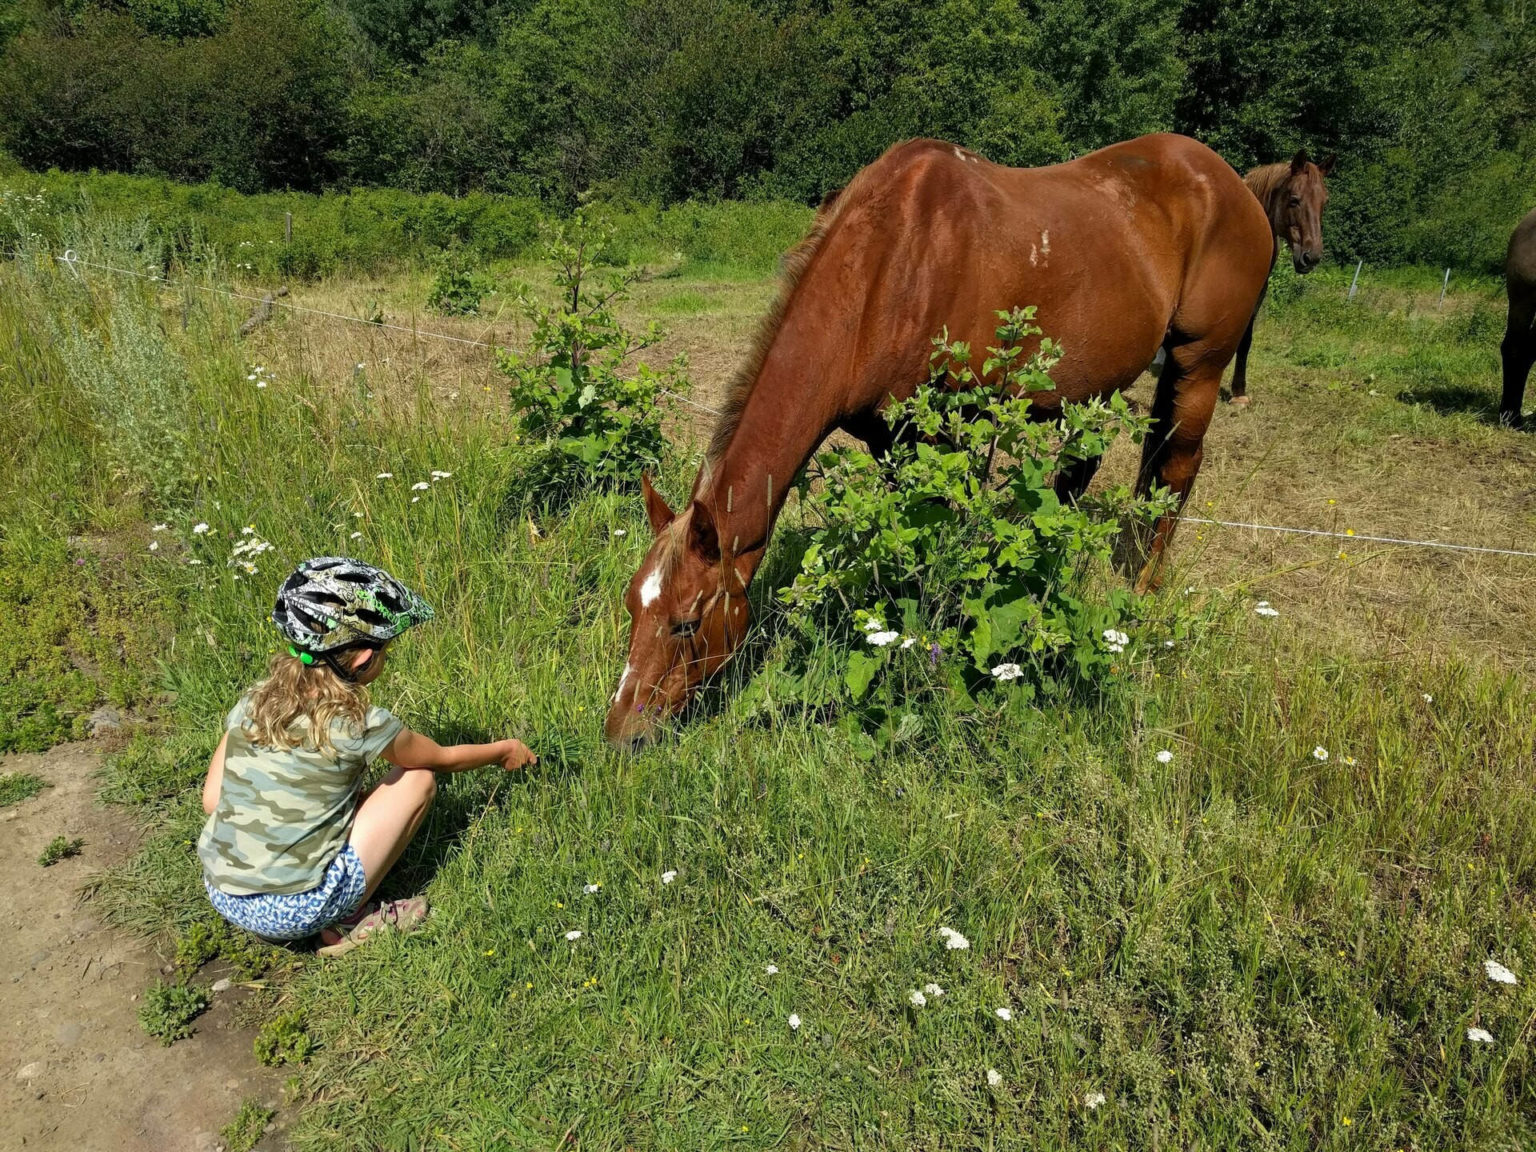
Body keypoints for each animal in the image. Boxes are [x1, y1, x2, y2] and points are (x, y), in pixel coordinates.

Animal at [605, 133, 1273, 748]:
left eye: (686, 623)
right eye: (634, 605)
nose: (620, 732)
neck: (889, 266)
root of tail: (1230, 183)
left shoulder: (936, 433)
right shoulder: (886, 439)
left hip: (1198, 364)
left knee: (1177, 469)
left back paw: (1145, 590)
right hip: (1097, 388)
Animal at [1226, 150, 1335, 405]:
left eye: (1324, 202)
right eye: (1294, 199)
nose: (1311, 257)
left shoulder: (1256, 294)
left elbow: (1245, 340)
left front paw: (1239, 392)